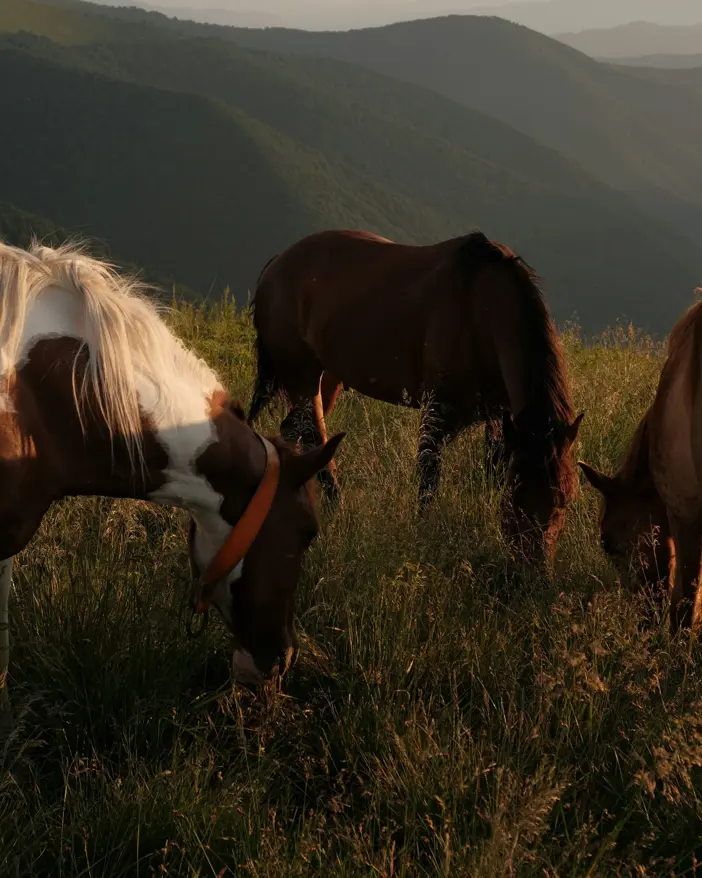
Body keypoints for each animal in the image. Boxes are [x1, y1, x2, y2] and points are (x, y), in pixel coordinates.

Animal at [247, 229, 583, 567]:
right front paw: (423, 535)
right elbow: (428, 478)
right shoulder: (437, 412)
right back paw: (333, 507)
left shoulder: (501, 422)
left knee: (298, 430)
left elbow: (492, 473)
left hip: (326, 378)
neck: (481, 310)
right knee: (311, 433)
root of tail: (277, 263)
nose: (534, 572)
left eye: (564, 500)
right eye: (518, 499)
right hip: (303, 377)